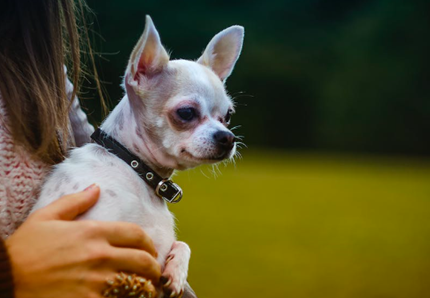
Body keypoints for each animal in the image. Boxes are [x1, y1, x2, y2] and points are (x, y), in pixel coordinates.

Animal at [32, 16, 244, 298]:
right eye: (186, 112)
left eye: (228, 116)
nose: (228, 138)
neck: (134, 167)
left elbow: (182, 244)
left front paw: (176, 272)